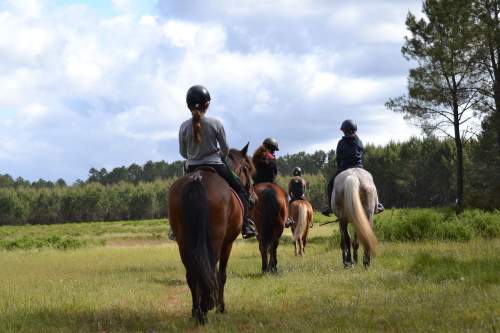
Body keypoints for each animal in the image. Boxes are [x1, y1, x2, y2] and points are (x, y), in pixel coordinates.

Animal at [168, 143, 254, 324]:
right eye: (248, 168)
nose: (253, 199)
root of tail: (197, 179)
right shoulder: (227, 244)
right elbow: (220, 274)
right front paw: (221, 307)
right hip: (215, 241)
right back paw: (206, 309)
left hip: (184, 242)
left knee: (192, 273)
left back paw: (197, 311)